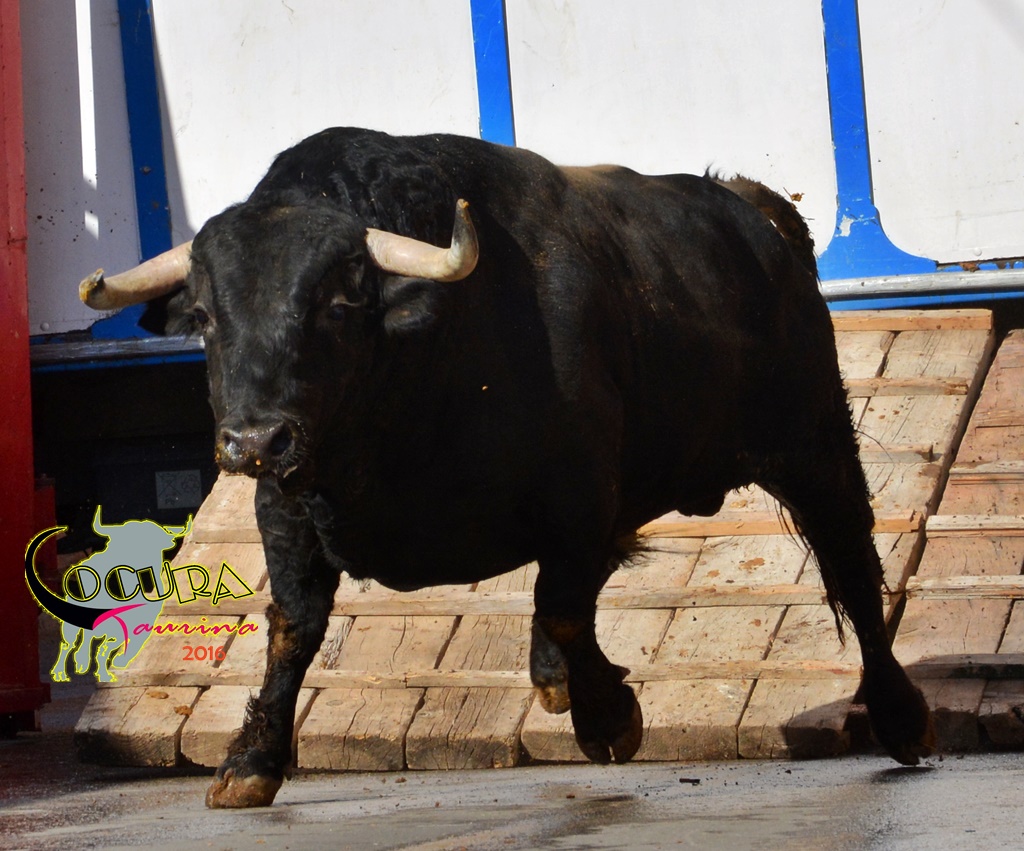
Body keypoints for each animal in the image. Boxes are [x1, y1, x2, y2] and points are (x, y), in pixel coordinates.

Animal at [79, 127, 934, 807]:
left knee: (852, 565)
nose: (254, 440)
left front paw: (609, 716)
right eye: (207, 316)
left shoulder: (578, 496)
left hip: (813, 440)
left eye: (337, 302)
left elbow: (563, 605)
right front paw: (251, 761)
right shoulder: (285, 508)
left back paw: (901, 716)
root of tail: (754, 212)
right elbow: (295, 625)